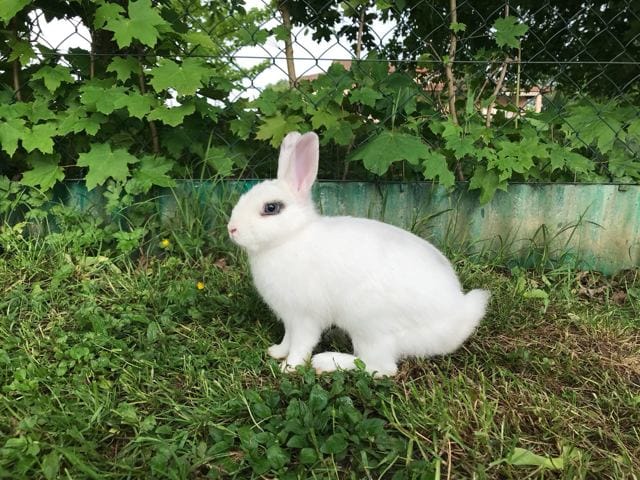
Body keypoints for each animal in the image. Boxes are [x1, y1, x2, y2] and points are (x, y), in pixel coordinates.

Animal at [227, 131, 490, 377]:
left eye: (271, 208)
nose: (232, 229)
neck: (290, 237)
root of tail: (457, 316)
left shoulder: (304, 316)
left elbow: (301, 344)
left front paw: (289, 368)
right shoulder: (289, 318)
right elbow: (287, 339)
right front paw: (276, 352)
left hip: (369, 325)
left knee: (379, 367)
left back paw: (326, 361)